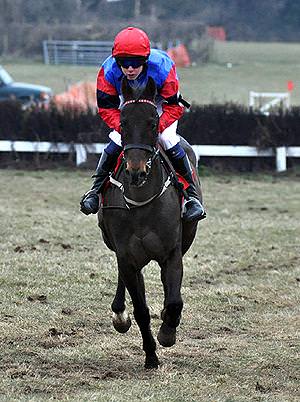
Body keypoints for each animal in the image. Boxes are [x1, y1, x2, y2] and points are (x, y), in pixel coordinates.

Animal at [98, 77, 204, 370]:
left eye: (153, 123)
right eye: (122, 123)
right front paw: (150, 355)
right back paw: (119, 313)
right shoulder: (127, 256)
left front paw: (167, 331)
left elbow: (175, 300)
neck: (141, 202)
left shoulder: (172, 254)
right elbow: (141, 309)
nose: (136, 171)